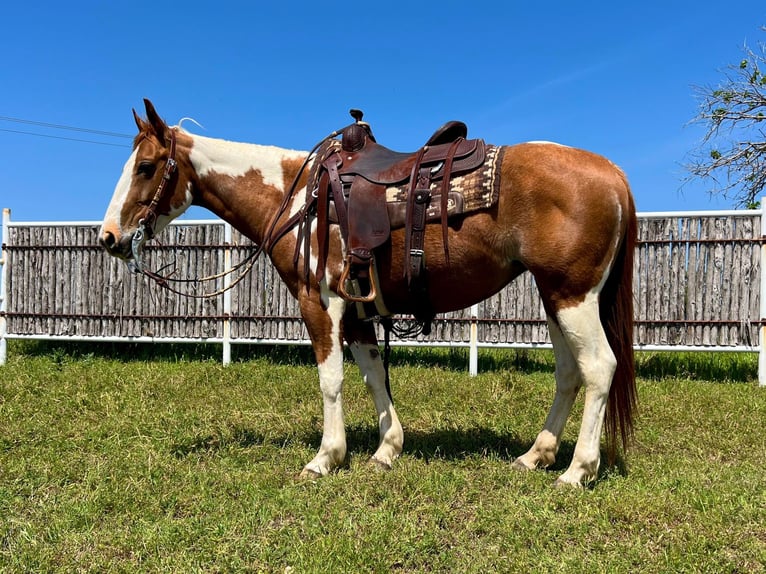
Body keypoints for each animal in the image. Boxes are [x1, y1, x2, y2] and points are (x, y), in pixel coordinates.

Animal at [102, 99, 640, 486]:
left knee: (598, 368)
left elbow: (331, 380)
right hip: (556, 297)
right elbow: (373, 376)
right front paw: (387, 450)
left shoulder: (320, 302)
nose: (109, 238)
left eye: (146, 166)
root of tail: (613, 173)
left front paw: (325, 458)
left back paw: (577, 470)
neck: (296, 200)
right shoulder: (359, 310)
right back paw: (536, 456)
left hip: (573, 296)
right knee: (569, 373)